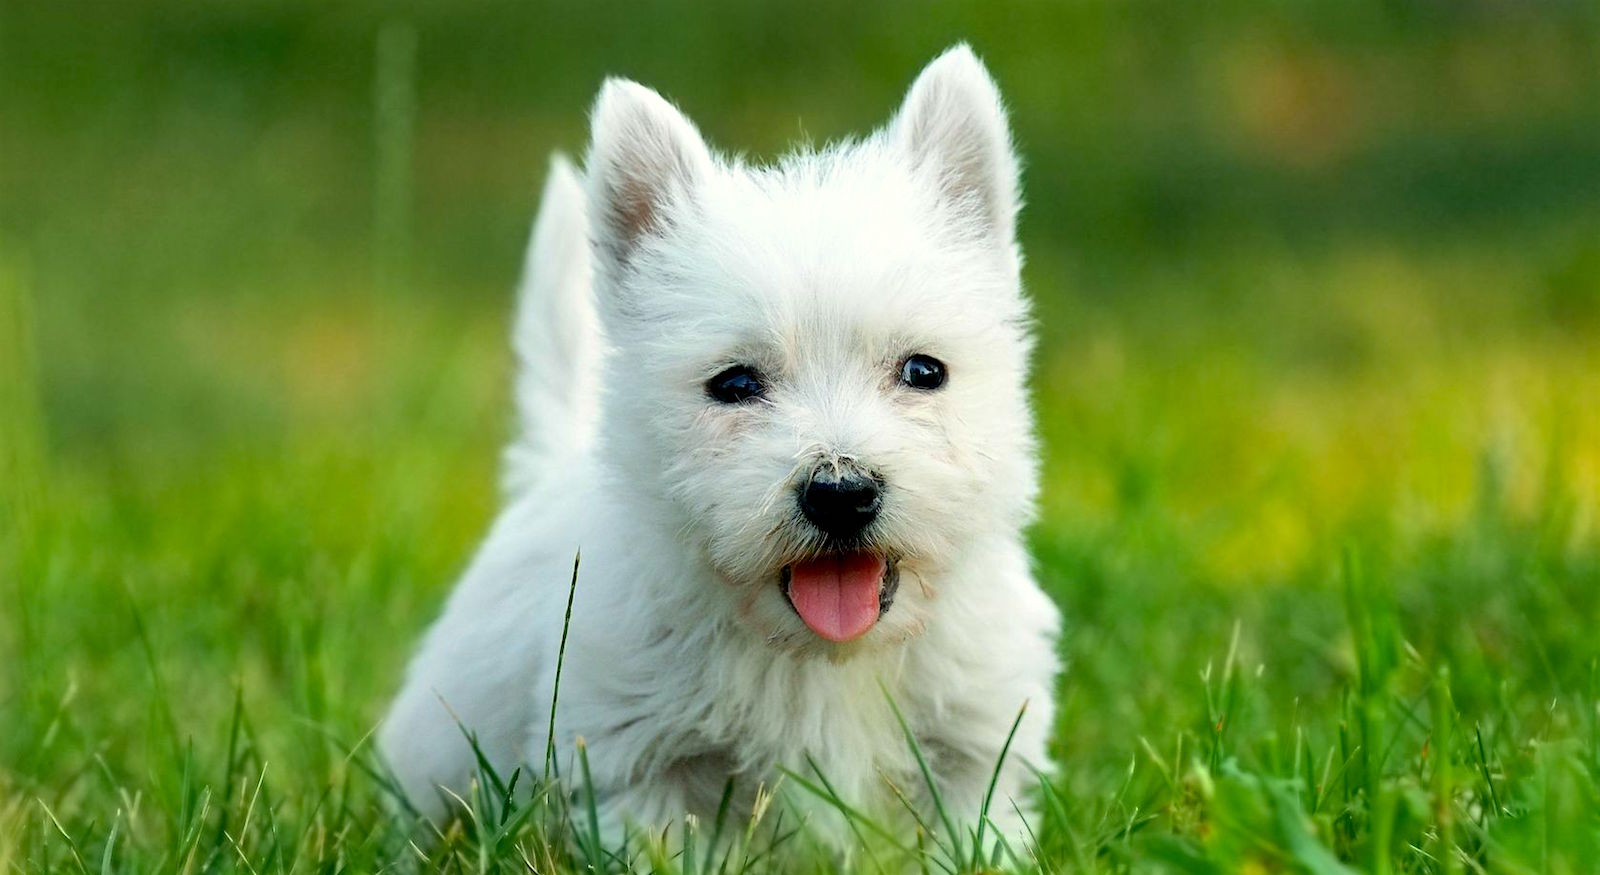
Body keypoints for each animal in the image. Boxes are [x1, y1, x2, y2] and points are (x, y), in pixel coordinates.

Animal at [380, 42, 1062, 857]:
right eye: (734, 383)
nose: (841, 492)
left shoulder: (977, 754)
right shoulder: (638, 762)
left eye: (924, 371)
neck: (819, 658)